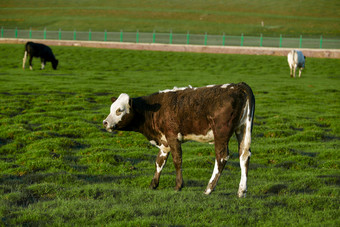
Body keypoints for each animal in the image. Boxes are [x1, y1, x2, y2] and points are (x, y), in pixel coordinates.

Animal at [103, 82, 255, 198]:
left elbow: (177, 160)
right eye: (111, 108)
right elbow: (159, 162)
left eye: (119, 110)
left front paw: (178, 186)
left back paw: (209, 189)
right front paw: (153, 184)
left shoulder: (172, 136)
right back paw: (241, 191)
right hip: (243, 129)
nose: (105, 123)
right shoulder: (164, 142)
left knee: (221, 157)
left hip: (221, 133)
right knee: (244, 155)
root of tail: (237, 85)